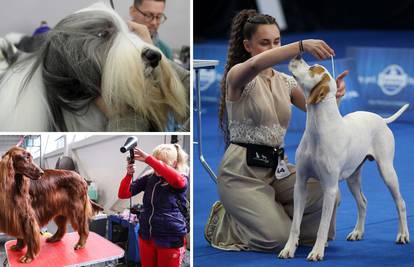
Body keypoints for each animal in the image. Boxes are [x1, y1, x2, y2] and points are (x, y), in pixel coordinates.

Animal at [276, 55, 410, 262]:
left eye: (313, 68)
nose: (297, 55)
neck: (317, 128)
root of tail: (381, 119)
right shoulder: (300, 184)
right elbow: (295, 225)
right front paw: (289, 249)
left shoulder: (330, 189)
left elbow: (323, 226)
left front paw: (317, 251)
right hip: (352, 178)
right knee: (363, 203)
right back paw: (357, 232)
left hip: (387, 171)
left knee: (400, 203)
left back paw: (403, 235)